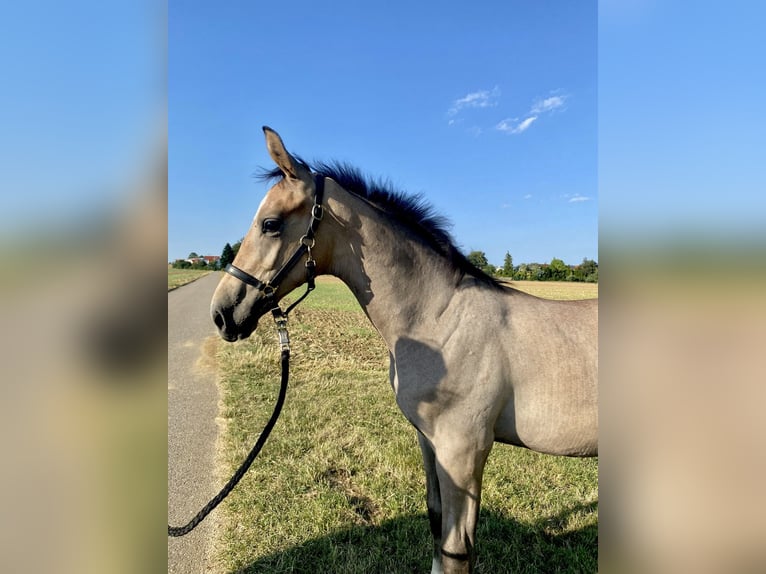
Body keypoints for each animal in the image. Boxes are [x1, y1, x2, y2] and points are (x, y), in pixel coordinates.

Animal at [211, 127, 598, 574]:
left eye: (270, 224)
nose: (222, 314)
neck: (439, 320)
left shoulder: (463, 450)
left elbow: (456, 547)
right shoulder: (429, 442)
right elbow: (436, 524)